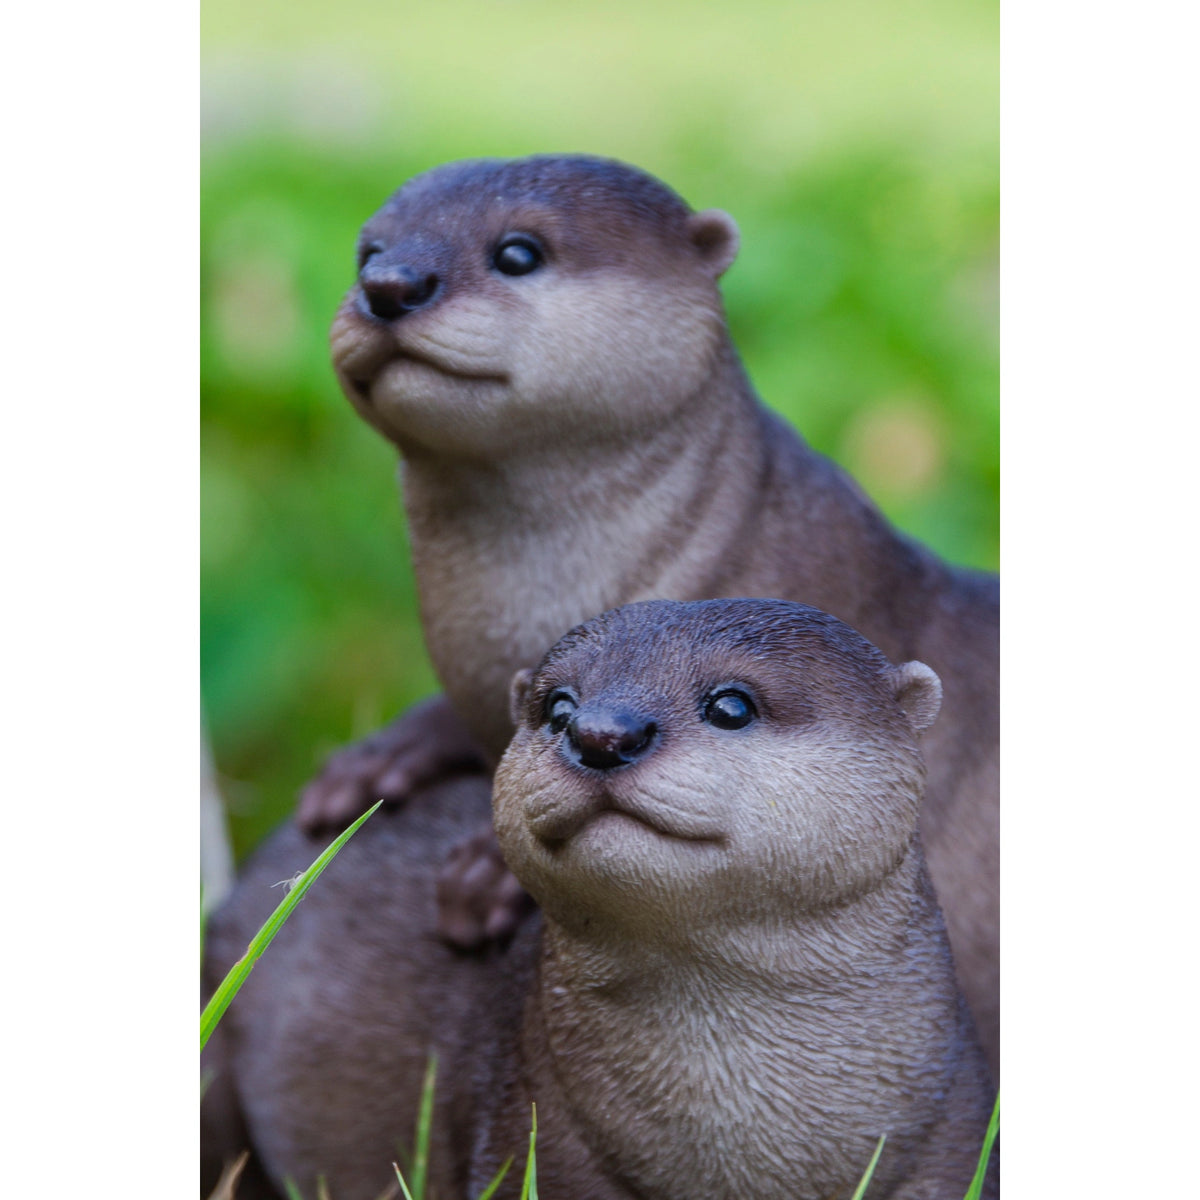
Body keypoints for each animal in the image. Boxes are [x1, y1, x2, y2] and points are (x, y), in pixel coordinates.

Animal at [203, 600, 997, 1200]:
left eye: (731, 704)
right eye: (559, 707)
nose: (601, 735)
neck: (746, 1148)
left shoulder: (949, 1151)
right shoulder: (541, 1149)